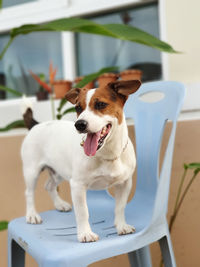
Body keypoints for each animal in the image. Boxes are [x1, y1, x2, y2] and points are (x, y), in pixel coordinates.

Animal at [20, 79, 141, 243]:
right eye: (78, 108)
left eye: (101, 104)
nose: (79, 124)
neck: (107, 154)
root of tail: (36, 124)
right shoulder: (77, 185)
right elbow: (83, 212)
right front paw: (85, 233)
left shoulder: (125, 183)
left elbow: (120, 207)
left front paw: (121, 226)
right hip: (31, 171)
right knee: (29, 193)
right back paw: (32, 215)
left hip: (59, 171)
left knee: (49, 186)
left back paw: (60, 204)